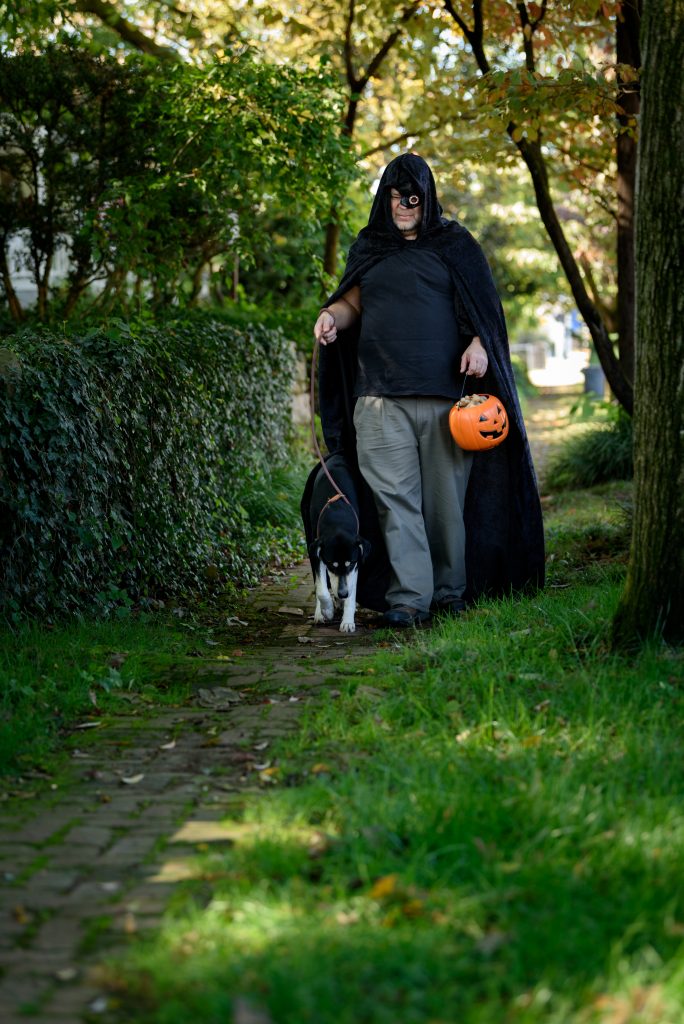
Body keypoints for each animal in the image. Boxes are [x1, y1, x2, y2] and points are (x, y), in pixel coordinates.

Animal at [307, 456, 370, 630]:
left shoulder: (357, 560)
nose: (342, 593)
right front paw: (327, 610)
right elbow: (321, 588)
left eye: (350, 563)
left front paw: (348, 621)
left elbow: (352, 590)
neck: (337, 518)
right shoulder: (317, 552)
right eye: (332, 564)